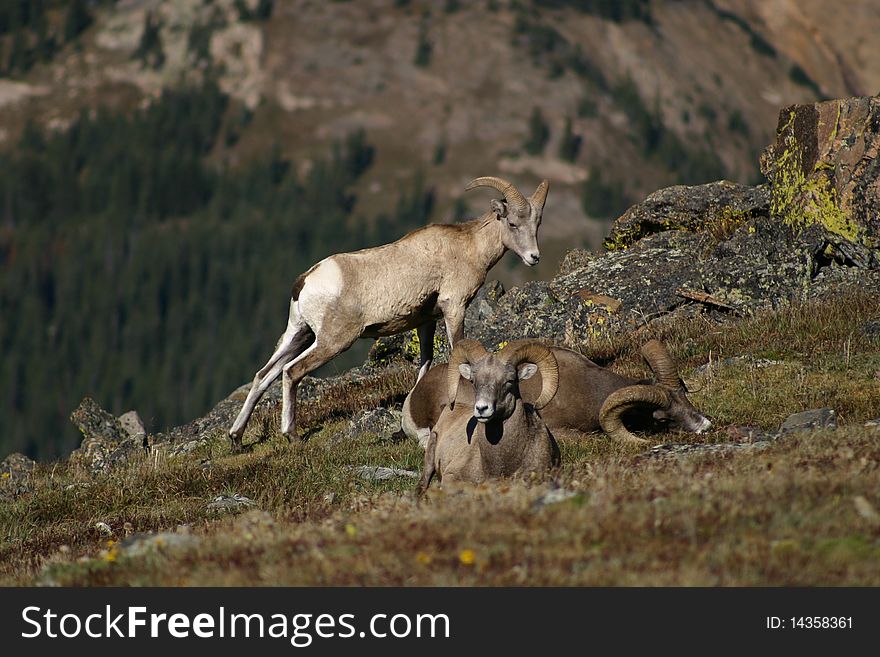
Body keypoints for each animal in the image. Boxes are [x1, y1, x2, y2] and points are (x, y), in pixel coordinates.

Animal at [227, 174, 552, 452]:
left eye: (537, 224)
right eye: (512, 223)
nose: (534, 257)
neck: (468, 247)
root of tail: (306, 280)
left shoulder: (425, 322)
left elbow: (424, 365)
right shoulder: (454, 308)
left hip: (299, 334)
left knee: (263, 375)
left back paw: (236, 439)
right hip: (331, 341)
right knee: (291, 372)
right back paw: (292, 435)